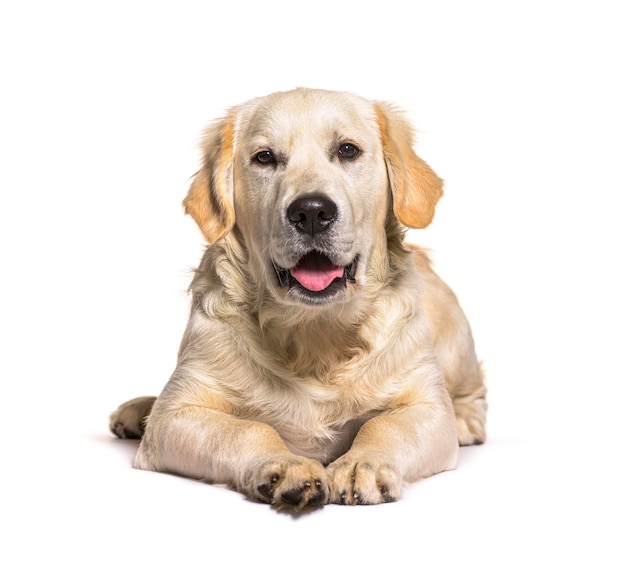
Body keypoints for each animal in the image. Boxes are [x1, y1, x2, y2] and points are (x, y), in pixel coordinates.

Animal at [109, 86, 486, 508]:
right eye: (265, 157)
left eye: (348, 150)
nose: (311, 212)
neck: (315, 333)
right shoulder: (175, 415)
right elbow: (248, 429)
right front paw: (284, 466)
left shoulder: (427, 408)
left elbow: (384, 424)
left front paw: (362, 463)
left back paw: (466, 419)